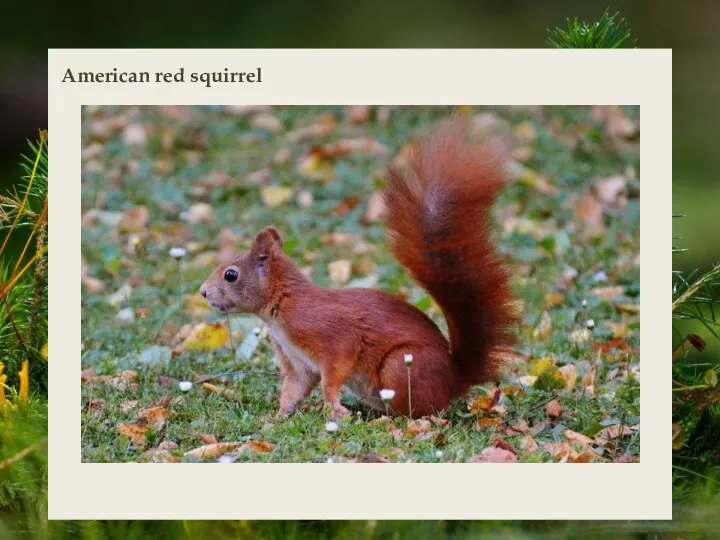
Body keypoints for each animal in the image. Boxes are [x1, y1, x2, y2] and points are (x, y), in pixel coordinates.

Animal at [200, 120, 516, 420]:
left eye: (231, 275)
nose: (203, 292)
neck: (281, 307)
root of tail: (453, 381)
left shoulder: (331, 334)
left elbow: (332, 373)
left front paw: (334, 408)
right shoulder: (298, 362)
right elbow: (294, 389)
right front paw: (277, 417)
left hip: (401, 366)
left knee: (422, 410)